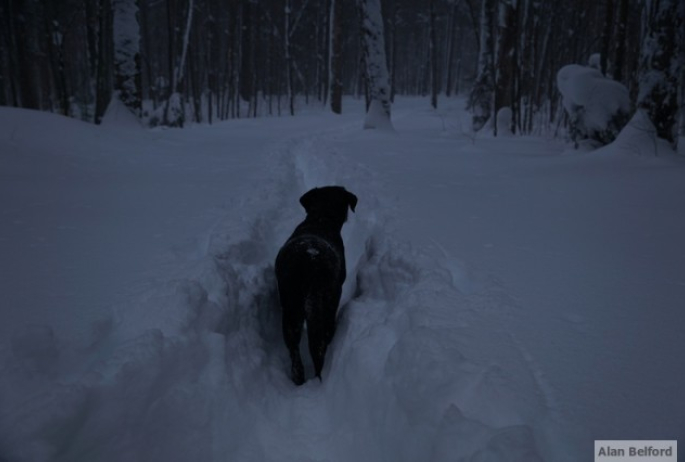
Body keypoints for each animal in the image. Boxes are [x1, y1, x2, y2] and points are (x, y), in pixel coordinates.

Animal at [274, 186, 356, 384]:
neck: (320, 219)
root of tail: (308, 266)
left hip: (291, 311)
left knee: (295, 354)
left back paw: (299, 379)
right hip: (323, 305)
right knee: (319, 347)